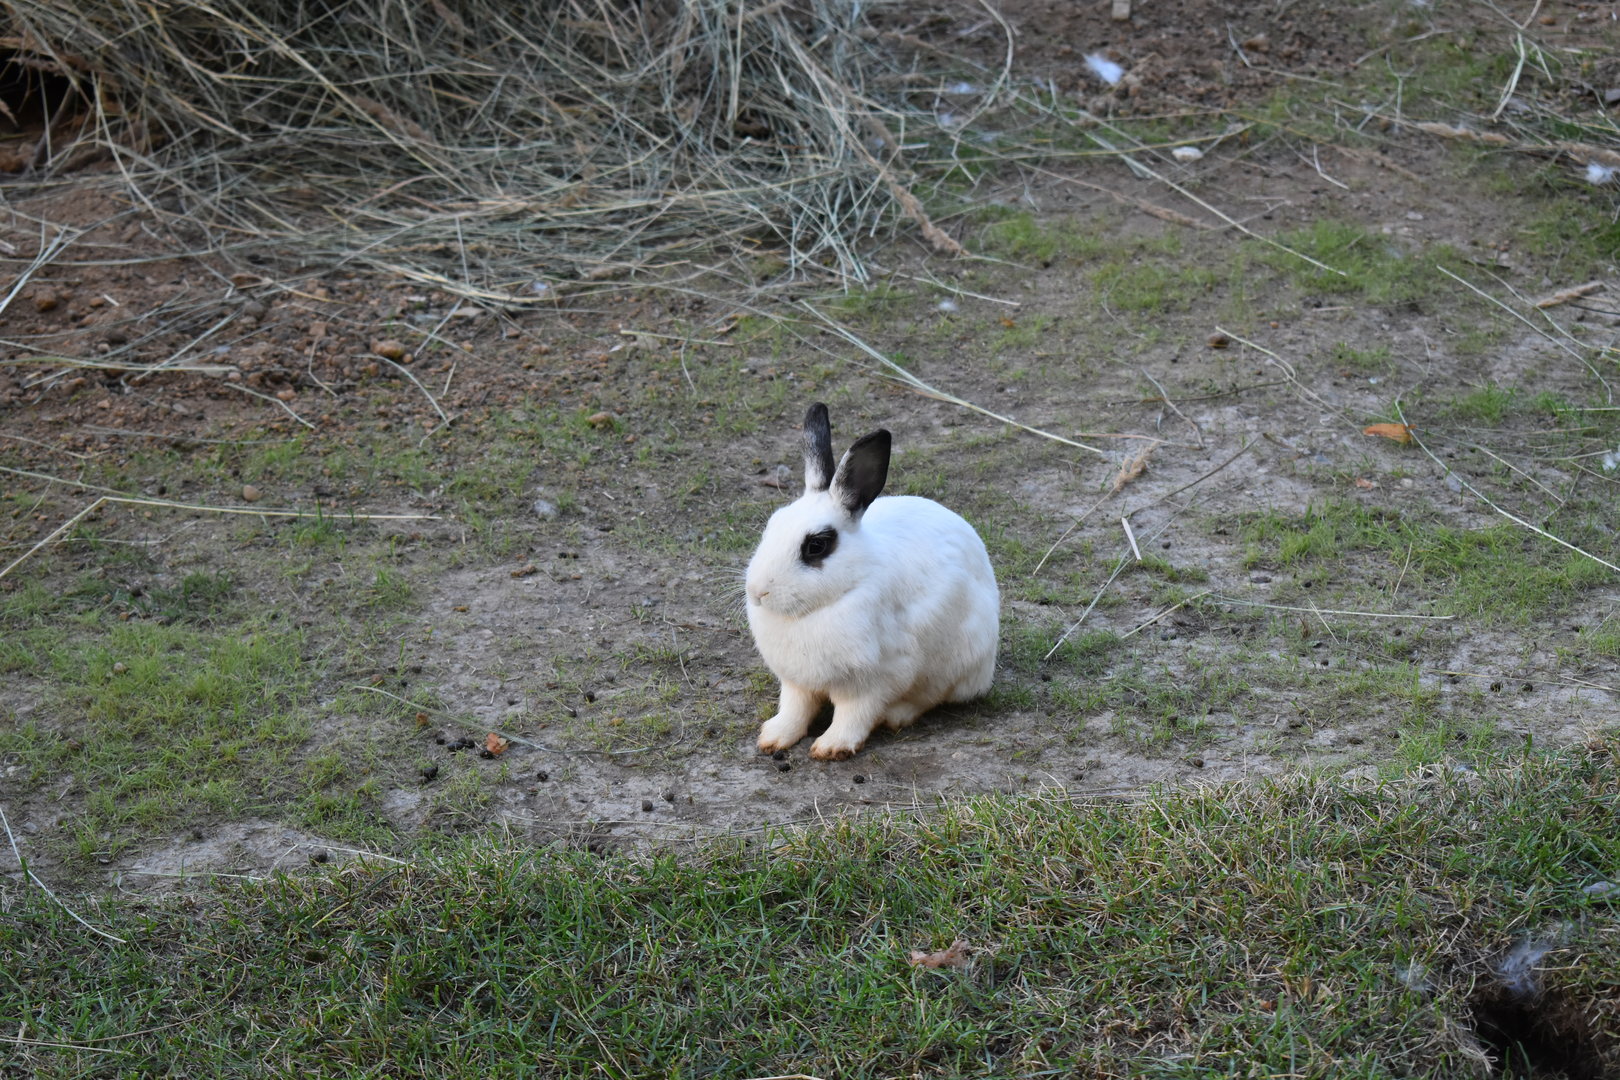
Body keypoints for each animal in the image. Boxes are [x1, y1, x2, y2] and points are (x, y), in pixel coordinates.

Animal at [744, 402, 999, 761]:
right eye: (771, 525)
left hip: (955, 662)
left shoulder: (874, 680)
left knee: (930, 697)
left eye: (816, 546)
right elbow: (795, 709)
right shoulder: (796, 683)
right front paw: (773, 737)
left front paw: (831, 747)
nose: (758, 592)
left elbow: (854, 714)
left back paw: (897, 715)